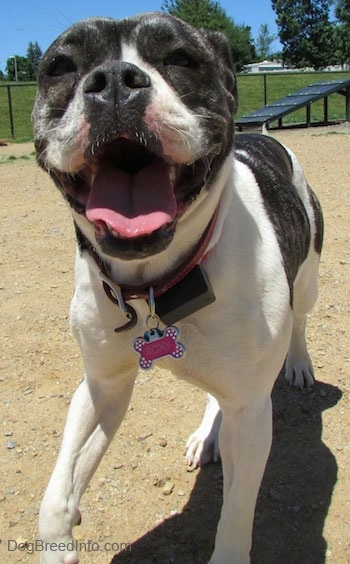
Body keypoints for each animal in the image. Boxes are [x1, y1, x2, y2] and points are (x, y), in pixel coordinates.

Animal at [32, 13, 322, 564]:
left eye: (181, 58)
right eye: (60, 66)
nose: (115, 80)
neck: (157, 284)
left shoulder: (253, 413)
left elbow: (235, 520)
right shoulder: (102, 385)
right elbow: (56, 494)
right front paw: (57, 544)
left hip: (308, 277)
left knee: (298, 323)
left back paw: (298, 364)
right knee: (216, 395)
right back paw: (208, 435)